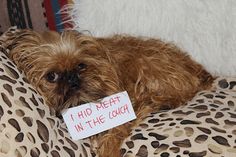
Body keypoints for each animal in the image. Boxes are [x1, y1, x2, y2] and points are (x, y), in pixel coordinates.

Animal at [8, 29, 214, 157]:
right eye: (51, 76)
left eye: (81, 66)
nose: (72, 78)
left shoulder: (124, 106)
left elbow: (115, 132)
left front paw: (107, 149)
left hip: (147, 65)